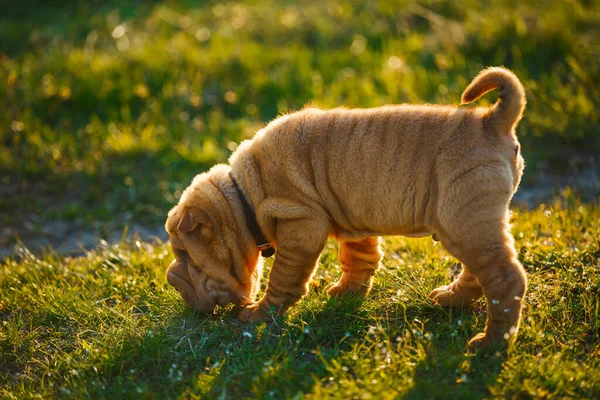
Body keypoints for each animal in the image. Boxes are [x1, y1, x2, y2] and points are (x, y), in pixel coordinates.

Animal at [164, 67, 524, 352]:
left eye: (185, 255)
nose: (170, 280)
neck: (245, 194)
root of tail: (491, 121)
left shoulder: (301, 225)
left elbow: (283, 276)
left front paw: (260, 314)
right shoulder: (353, 220)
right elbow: (360, 257)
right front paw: (347, 294)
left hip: (465, 219)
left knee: (505, 279)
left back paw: (490, 345)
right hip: (467, 225)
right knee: (479, 273)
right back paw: (451, 299)